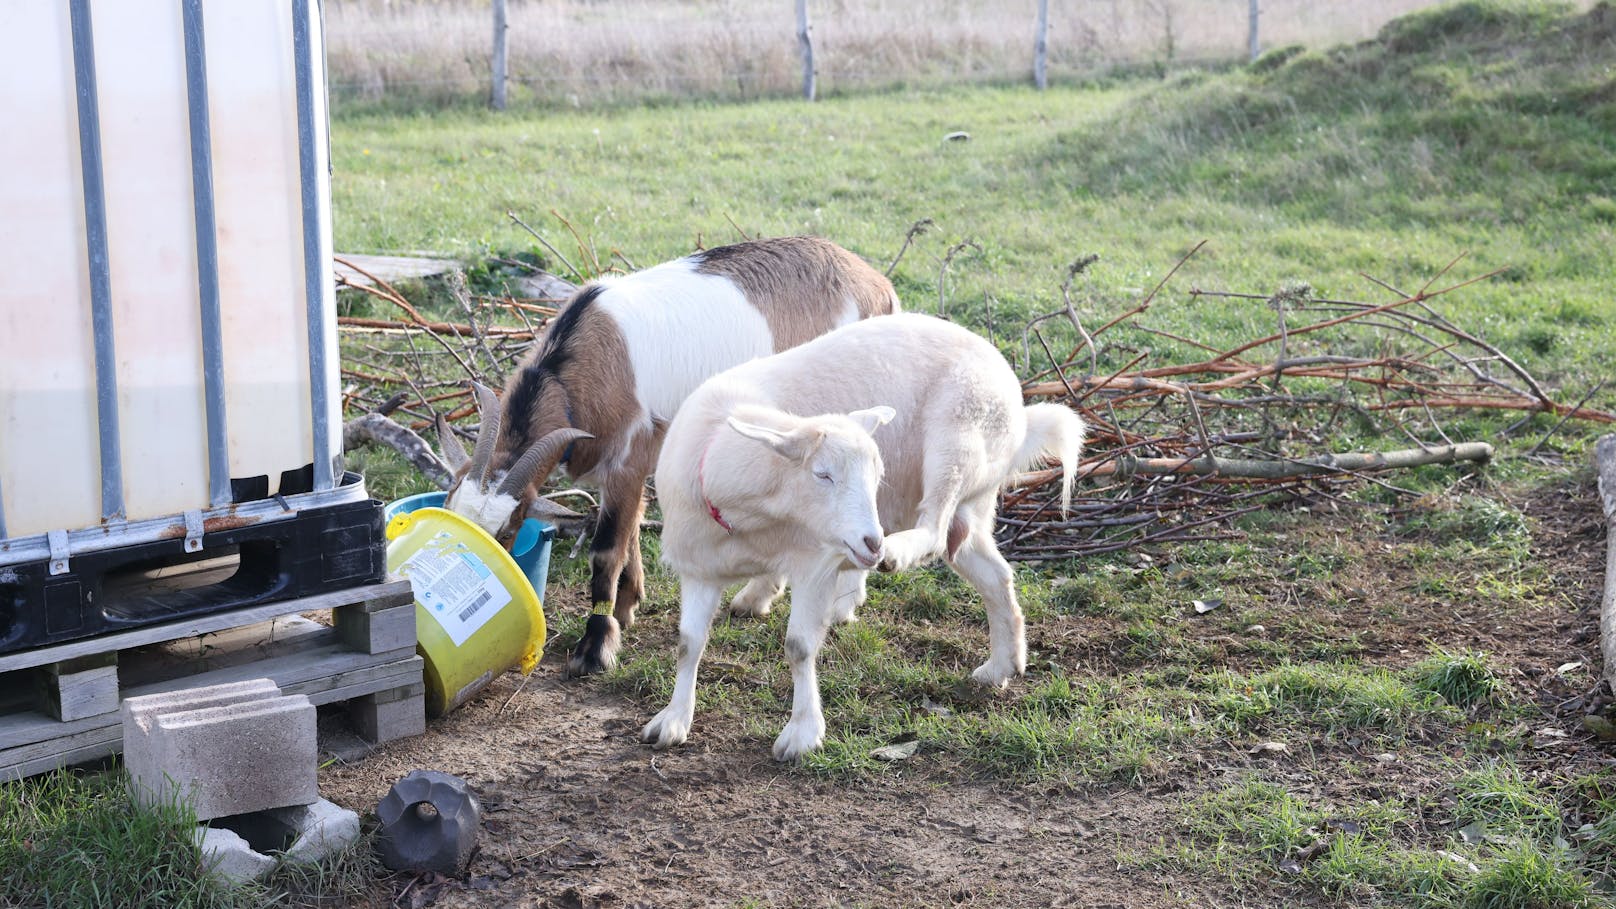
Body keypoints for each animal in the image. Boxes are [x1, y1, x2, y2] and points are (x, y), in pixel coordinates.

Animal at [439, 237, 898, 676]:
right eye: (449, 509)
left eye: (507, 530)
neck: (583, 365)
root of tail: (878, 285)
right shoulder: (628, 464)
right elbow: (632, 527)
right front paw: (628, 606)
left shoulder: (629, 455)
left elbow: (606, 549)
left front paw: (596, 647)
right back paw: (758, 598)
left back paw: (841, 604)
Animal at [639, 310, 1085, 756]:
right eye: (823, 475)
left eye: (876, 475)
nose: (872, 542)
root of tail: (1018, 405)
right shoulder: (700, 567)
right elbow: (688, 643)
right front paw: (672, 720)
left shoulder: (814, 563)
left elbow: (799, 647)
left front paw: (802, 733)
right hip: (973, 504)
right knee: (993, 573)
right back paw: (1002, 665)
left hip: (959, 435)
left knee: (934, 528)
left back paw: (899, 553)